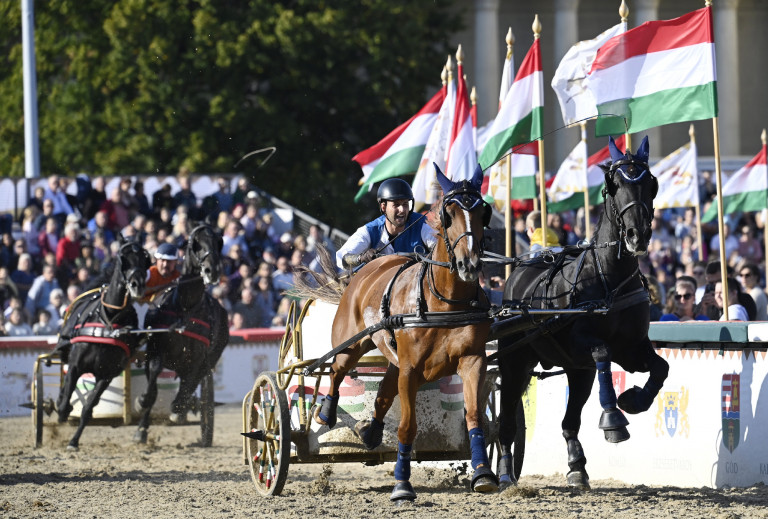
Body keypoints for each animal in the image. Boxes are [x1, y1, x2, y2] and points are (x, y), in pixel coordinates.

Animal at [54, 237, 152, 450]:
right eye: (123, 257)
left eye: (145, 259)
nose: (137, 285)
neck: (108, 321)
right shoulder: (75, 366)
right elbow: (65, 401)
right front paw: (63, 410)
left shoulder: (106, 375)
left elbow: (88, 409)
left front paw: (74, 441)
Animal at [134, 224, 230, 446]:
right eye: (195, 243)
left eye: (218, 242)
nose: (212, 271)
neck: (185, 307)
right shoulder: (156, 350)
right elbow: (152, 388)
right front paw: (142, 411)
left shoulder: (198, 358)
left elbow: (189, 384)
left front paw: (178, 409)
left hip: (209, 358)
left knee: (194, 380)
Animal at [310, 165, 498, 502]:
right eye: (449, 213)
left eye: (482, 212)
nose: (469, 264)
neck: (444, 302)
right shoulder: (410, 369)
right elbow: (408, 427)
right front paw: (402, 485)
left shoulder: (472, 360)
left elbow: (475, 416)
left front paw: (483, 473)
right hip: (351, 345)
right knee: (336, 371)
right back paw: (327, 413)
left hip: (393, 359)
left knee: (383, 395)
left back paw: (369, 431)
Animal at [496, 135, 668, 492]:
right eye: (614, 185)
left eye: (651, 182)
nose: (638, 235)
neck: (607, 279)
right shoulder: (581, 343)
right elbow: (602, 350)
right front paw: (613, 419)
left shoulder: (631, 348)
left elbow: (660, 368)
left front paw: (633, 400)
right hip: (515, 361)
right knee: (505, 419)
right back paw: (504, 474)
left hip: (578, 372)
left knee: (569, 420)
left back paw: (577, 465)